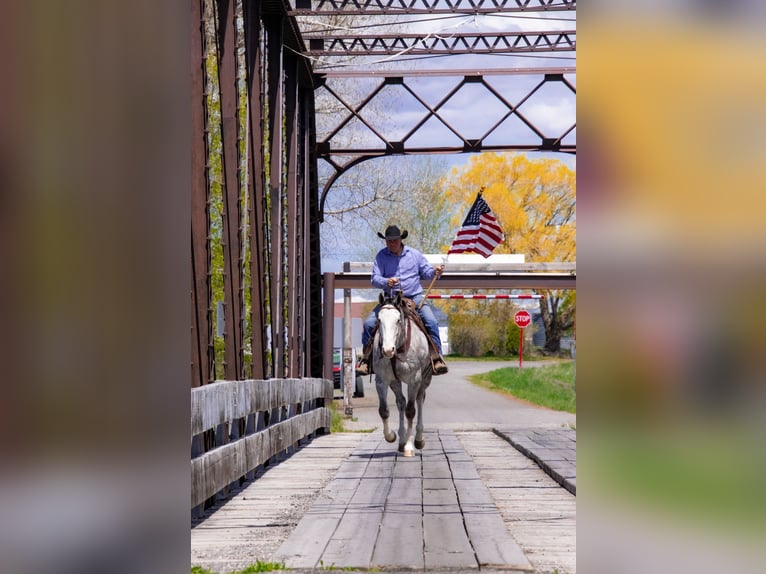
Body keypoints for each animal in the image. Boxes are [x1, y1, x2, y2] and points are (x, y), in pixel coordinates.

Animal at [374, 292, 436, 460]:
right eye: (379, 320)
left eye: (398, 320)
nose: (387, 350)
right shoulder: (381, 380)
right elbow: (384, 410)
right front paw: (391, 436)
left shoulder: (414, 380)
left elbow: (410, 411)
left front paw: (409, 447)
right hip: (395, 382)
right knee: (400, 402)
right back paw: (401, 441)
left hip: (425, 379)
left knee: (419, 401)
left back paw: (418, 439)